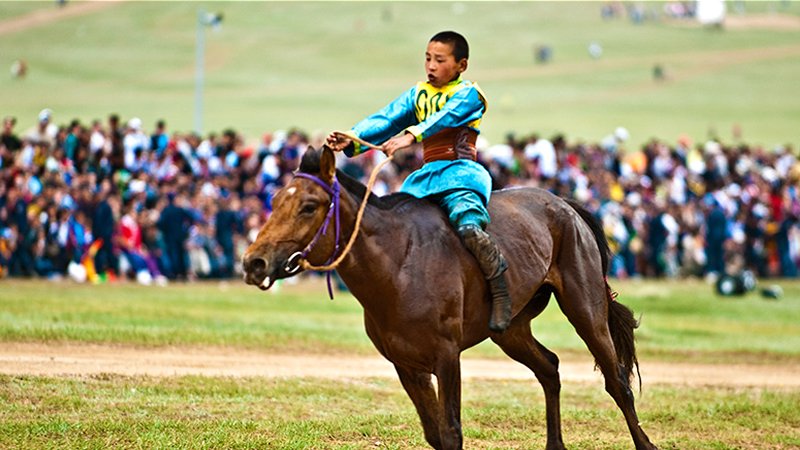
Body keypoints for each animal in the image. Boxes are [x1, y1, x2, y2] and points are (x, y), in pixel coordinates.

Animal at [242, 147, 657, 450]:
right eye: (275, 199)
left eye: (308, 206)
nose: (253, 262)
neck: (399, 263)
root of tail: (566, 205)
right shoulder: (406, 364)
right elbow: (435, 434)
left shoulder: (446, 356)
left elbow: (451, 431)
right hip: (511, 330)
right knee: (549, 368)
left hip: (585, 306)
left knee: (617, 382)